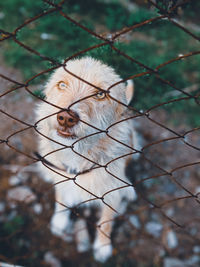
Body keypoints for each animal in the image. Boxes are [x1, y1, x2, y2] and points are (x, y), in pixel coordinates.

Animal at [36, 57, 140, 264]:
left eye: (100, 94)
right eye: (62, 84)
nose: (65, 118)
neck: (79, 155)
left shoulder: (111, 194)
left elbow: (106, 222)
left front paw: (102, 247)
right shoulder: (61, 175)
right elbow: (61, 197)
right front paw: (59, 221)